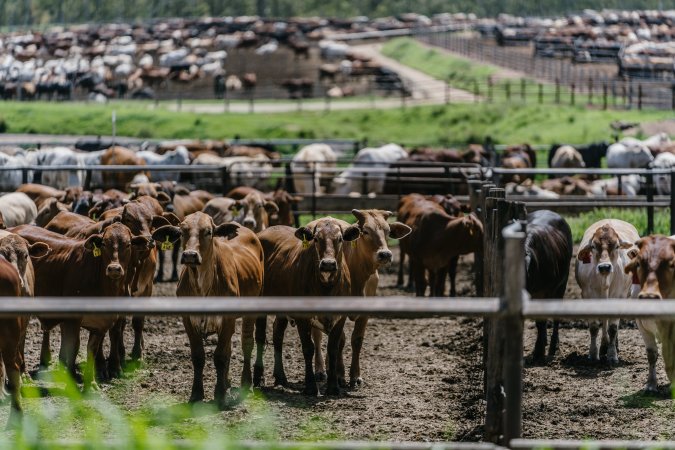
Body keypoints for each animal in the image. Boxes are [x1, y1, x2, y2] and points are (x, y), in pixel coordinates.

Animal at [151, 213, 264, 410]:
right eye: (182, 232)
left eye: (208, 232)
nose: (190, 255)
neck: (202, 284)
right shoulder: (188, 320)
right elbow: (198, 356)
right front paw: (196, 394)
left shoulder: (227, 319)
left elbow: (220, 356)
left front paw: (219, 395)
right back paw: (227, 382)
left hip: (251, 310)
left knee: (246, 343)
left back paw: (246, 383)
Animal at [258, 220, 362, 396]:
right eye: (316, 239)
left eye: (340, 239)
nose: (328, 264)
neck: (326, 287)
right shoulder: (303, 317)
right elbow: (308, 348)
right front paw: (311, 387)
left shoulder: (339, 318)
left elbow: (333, 349)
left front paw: (333, 387)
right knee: (259, 337)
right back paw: (257, 379)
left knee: (277, 334)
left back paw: (281, 378)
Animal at [308, 210, 410, 386]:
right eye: (366, 231)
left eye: (388, 231)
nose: (385, 254)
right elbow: (340, 340)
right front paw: (340, 375)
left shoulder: (365, 312)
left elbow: (356, 340)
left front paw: (355, 376)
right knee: (318, 336)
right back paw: (321, 370)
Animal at [524, 209, 572, 364]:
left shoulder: (544, 292)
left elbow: (541, 321)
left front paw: (539, 353)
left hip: (561, 285)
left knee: (555, 317)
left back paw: (552, 346)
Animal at [576, 221, 640, 366]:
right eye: (593, 246)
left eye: (616, 246)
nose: (604, 267)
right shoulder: (588, 296)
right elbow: (594, 327)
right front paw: (593, 354)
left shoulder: (618, 297)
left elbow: (613, 328)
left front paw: (612, 355)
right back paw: (603, 346)